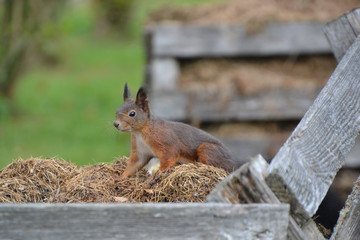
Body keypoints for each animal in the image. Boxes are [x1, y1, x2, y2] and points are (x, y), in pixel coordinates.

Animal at [113, 84, 242, 178]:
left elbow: (170, 156)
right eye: (117, 111)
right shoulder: (141, 151)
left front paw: (157, 174)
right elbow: (134, 165)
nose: (116, 124)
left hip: (208, 149)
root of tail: (234, 165)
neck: (140, 132)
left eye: (132, 114)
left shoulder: (166, 142)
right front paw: (119, 178)